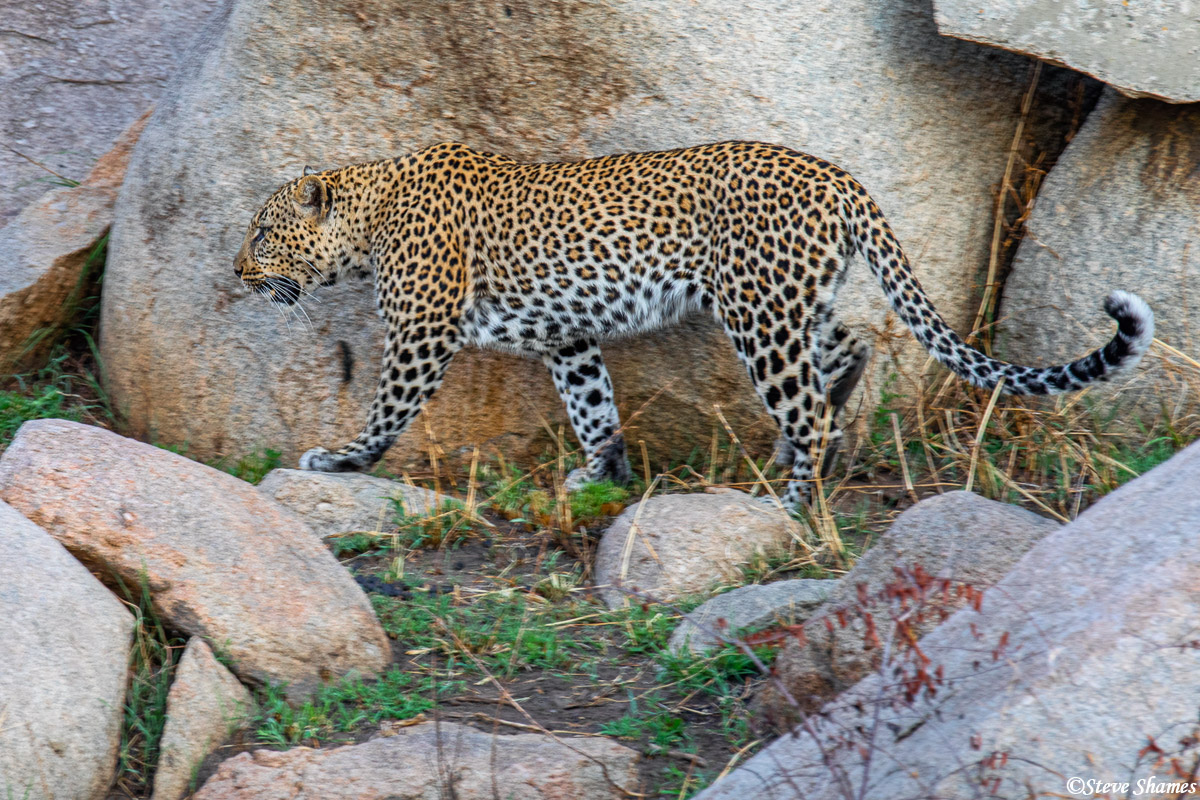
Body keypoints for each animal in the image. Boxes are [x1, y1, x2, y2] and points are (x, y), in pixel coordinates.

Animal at [234, 140, 1152, 510]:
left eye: (262, 232)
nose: (236, 272)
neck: (368, 216)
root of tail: (840, 178)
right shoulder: (568, 336)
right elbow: (592, 404)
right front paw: (600, 475)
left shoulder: (423, 333)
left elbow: (387, 410)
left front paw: (339, 459)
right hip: (790, 303)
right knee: (844, 353)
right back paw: (805, 451)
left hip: (757, 313)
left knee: (805, 405)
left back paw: (792, 501)